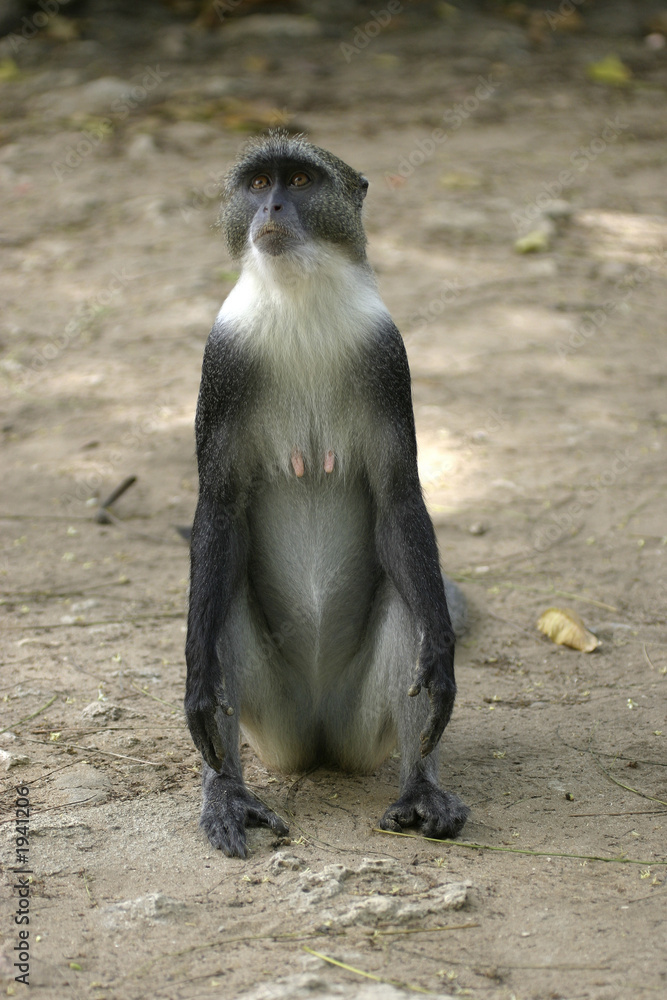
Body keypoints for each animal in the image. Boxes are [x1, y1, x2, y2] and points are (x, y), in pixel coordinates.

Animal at [184, 130, 469, 858]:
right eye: (259, 183)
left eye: (301, 181)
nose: (273, 208)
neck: (299, 298)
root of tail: (317, 745)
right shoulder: (221, 361)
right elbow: (219, 508)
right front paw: (195, 687)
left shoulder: (387, 355)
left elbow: (399, 500)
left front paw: (443, 666)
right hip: (276, 725)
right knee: (223, 605)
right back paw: (229, 793)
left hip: (358, 727)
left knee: (408, 605)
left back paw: (418, 789)